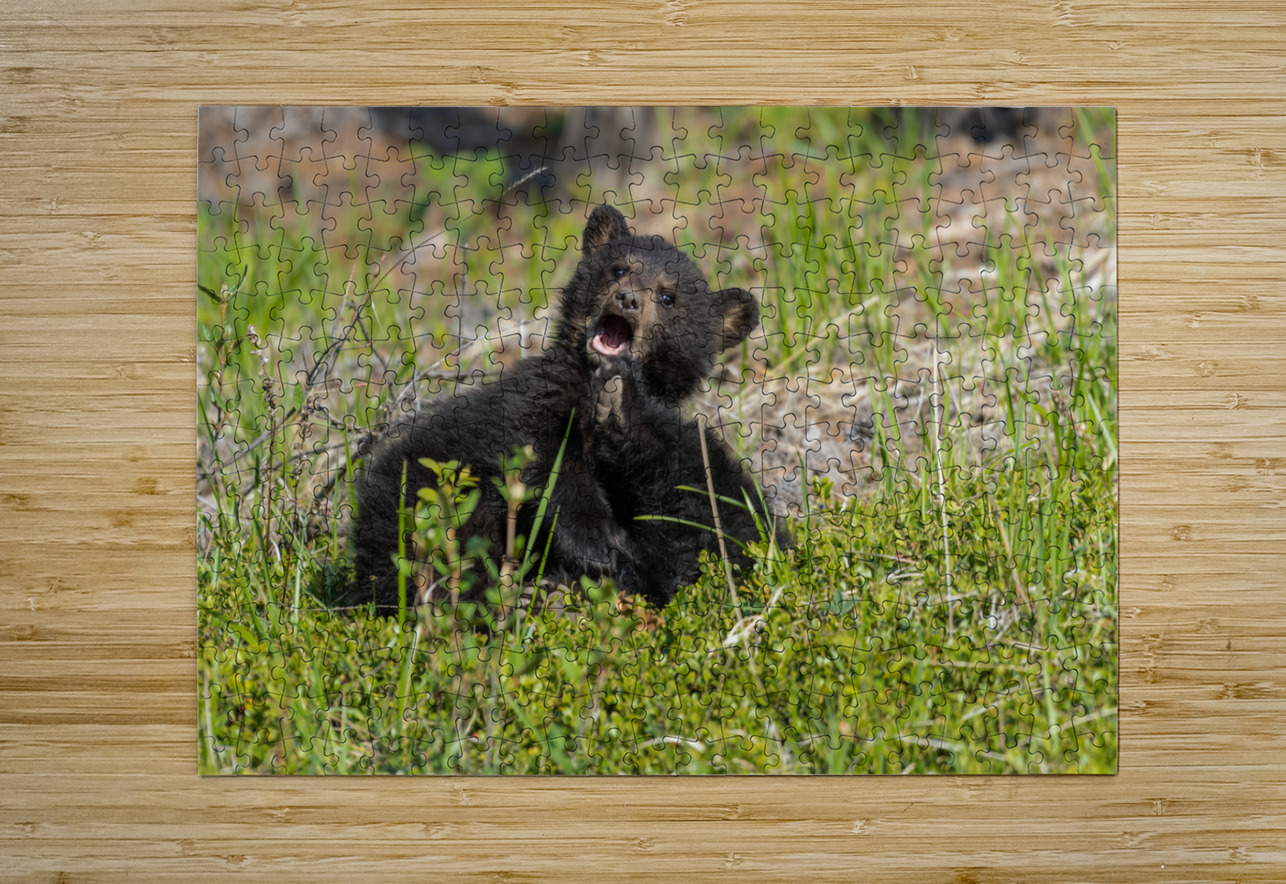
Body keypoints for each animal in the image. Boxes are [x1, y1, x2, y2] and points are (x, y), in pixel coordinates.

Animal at [351, 204, 787, 614]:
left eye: (668, 296)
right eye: (618, 268)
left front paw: (622, 408)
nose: (628, 299)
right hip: (425, 491)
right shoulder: (537, 397)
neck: (589, 383)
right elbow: (548, 461)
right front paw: (594, 543)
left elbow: (698, 489)